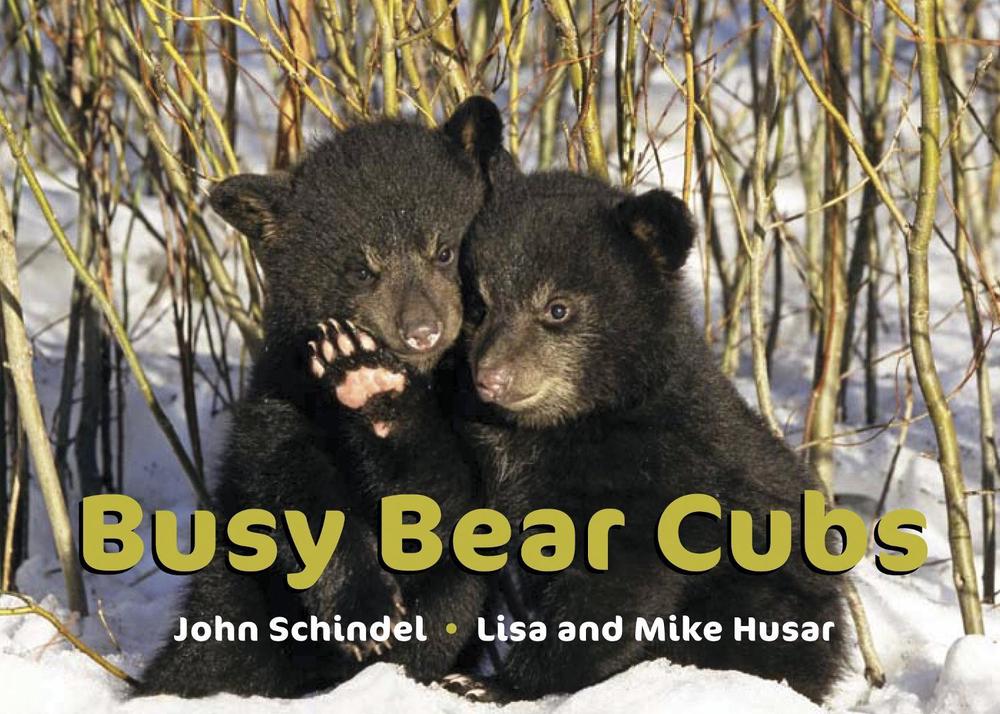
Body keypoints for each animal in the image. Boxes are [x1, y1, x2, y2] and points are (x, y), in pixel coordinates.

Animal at [138, 97, 506, 698]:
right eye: (360, 269)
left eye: (444, 251)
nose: (421, 330)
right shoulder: (285, 399)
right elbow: (291, 483)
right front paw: (366, 611)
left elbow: (447, 498)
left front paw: (376, 391)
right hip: (231, 589)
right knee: (214, 638)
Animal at [446, 170, 848, 704]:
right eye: (479, 304)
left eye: (557, 308)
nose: (491, 377)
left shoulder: (659, 478)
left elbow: (617, 588)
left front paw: (493, 682)